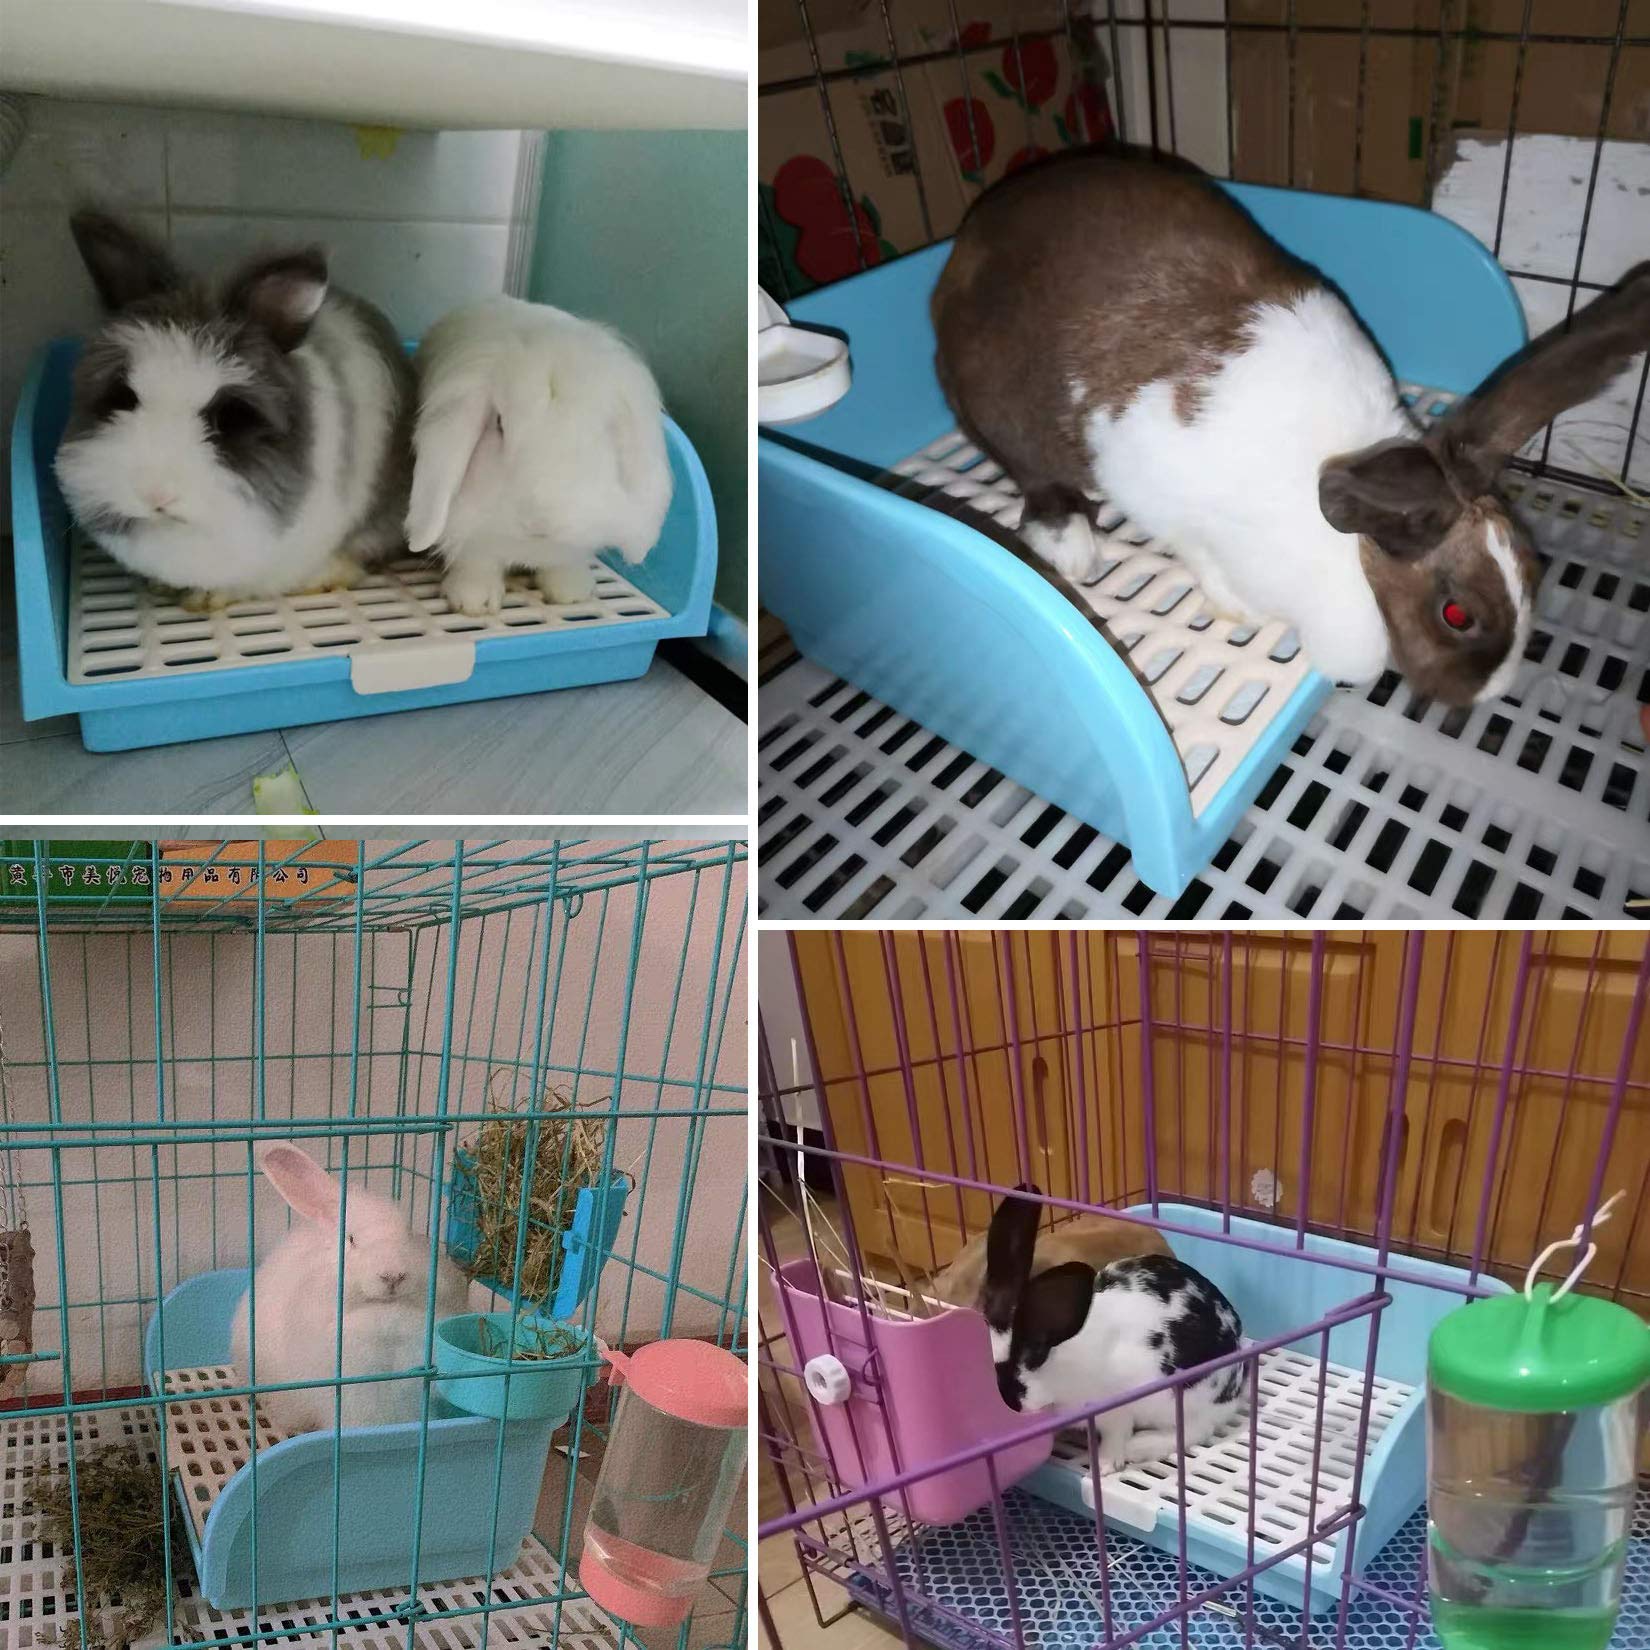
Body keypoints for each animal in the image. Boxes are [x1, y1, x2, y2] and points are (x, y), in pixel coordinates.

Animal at [404, 294, 674, 617]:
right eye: (499, 423)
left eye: (599, 431)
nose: (540, 524)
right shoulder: (470, 531)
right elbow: (477, 560)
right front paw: (473, 601)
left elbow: (566, 560)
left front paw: (571, 594)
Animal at [931, 153, 1650, 707]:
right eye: (1457, 615)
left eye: (1535, 571)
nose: (1489, 694)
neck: (1348, 548)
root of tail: (962, 248)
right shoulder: (1164, 498)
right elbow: (1201, 556)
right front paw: (1243, 612)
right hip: (995, 394)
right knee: (1026, 464)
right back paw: (1068, 540)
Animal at [983, 1184, 1243, 1474]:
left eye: (1005, 1388)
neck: (1055, 1363)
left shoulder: (1117, 1409)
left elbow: (1115, 1435)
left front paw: (1106, 1465)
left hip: (1181, 1399)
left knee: (1195, 1429)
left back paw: (1140, 1446)